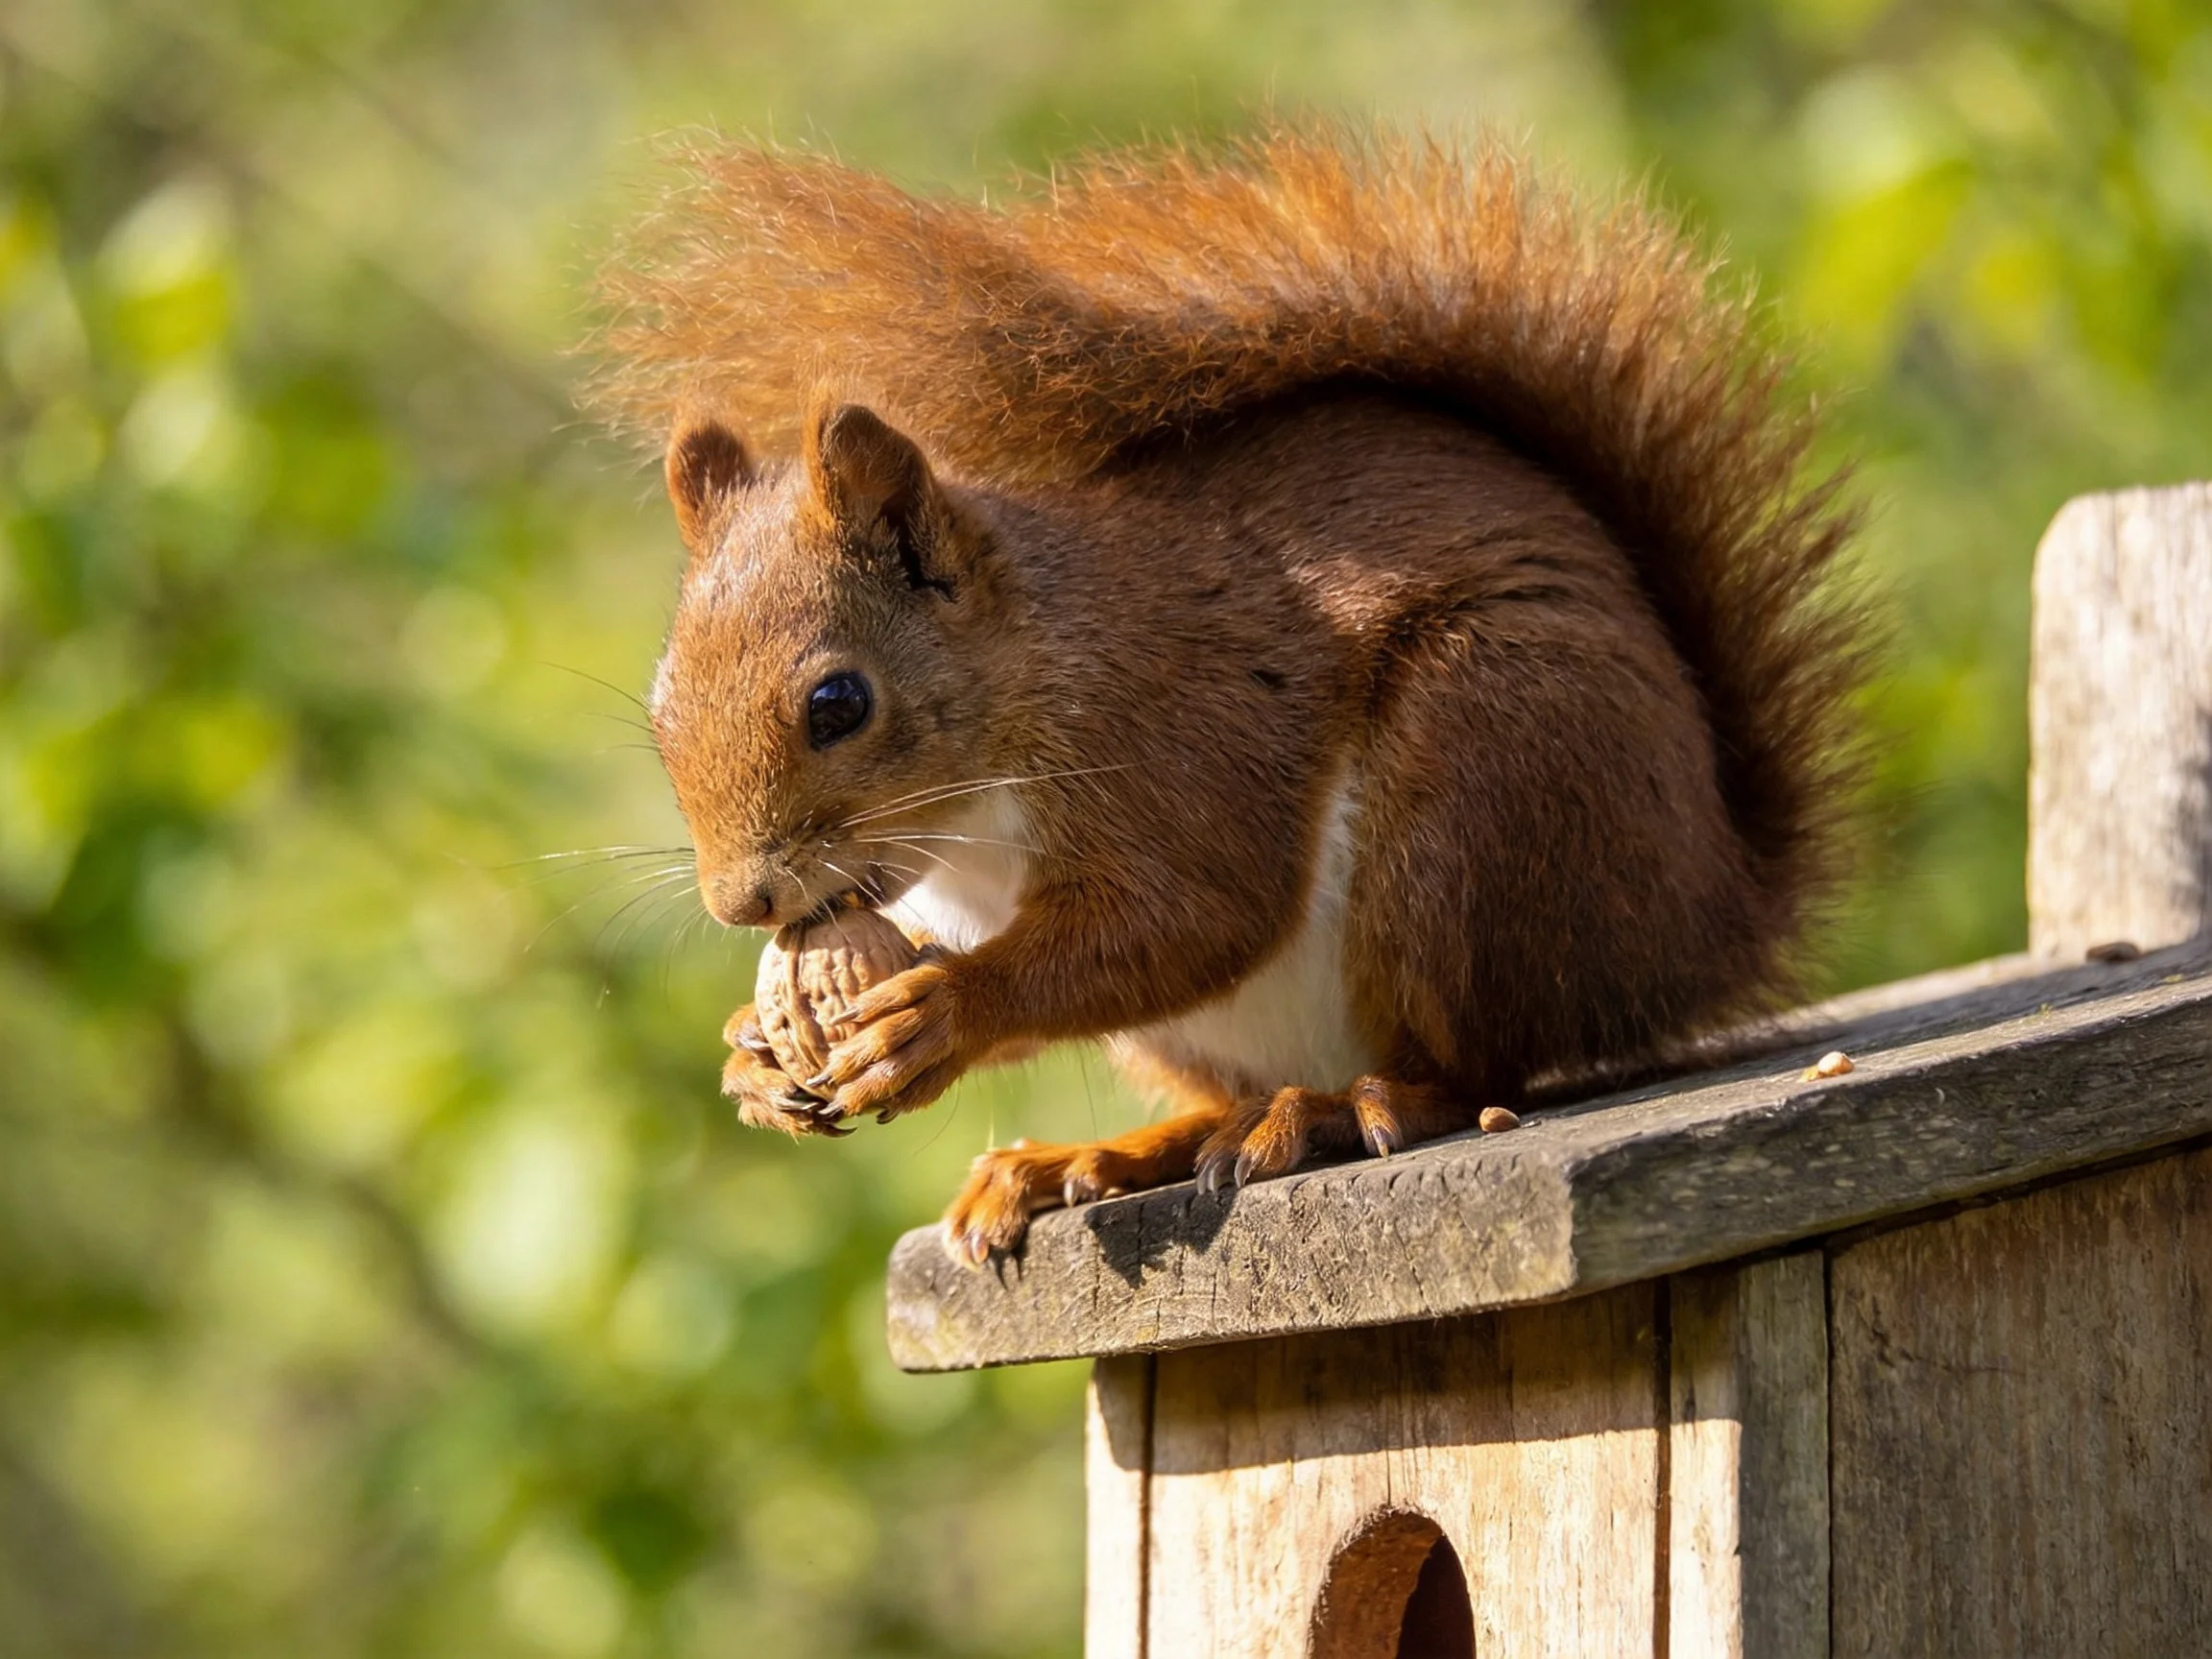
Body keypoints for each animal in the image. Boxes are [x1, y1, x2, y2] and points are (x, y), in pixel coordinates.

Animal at [591, 126, 1868, 1264]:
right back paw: (1099, 1156)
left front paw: (937, 1012)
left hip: (1479, 788)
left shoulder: (1178, 733)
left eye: (839, 705)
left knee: (1481, 1066)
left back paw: (1339, 1111)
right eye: (658, 712)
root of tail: (1705, 915)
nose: (741, 903)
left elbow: (1195, 913)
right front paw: (752, 1054)